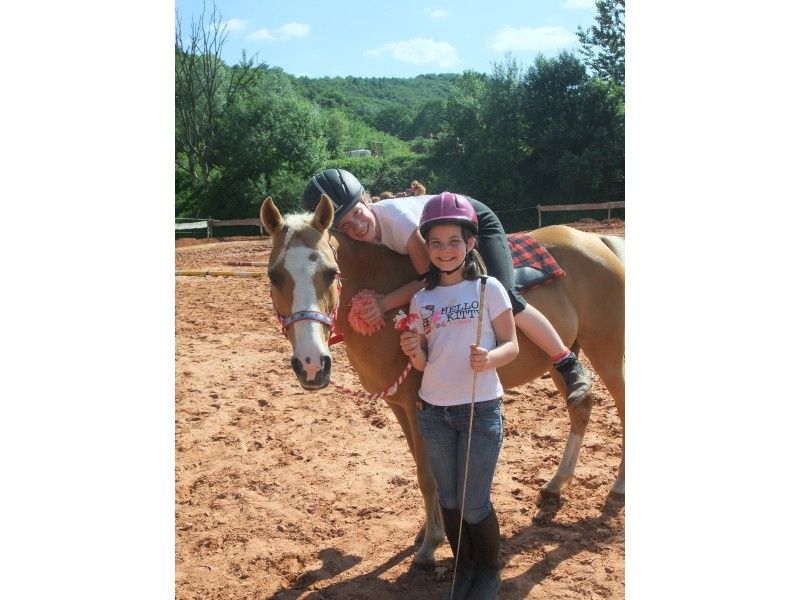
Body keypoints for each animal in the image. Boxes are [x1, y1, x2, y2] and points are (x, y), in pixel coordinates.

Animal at [260, 196, 624, 568]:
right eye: (274, 275)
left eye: (331, 273)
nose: (311, 365)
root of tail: (597, 241)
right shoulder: (399, 405)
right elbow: (426, 467)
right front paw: (427, 530)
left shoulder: (417, 403)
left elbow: (427, 474)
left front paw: (431, 543)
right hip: (564, 357)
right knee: (581, 406)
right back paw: (556, 483)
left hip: (606, 352)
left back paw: (618, 487)